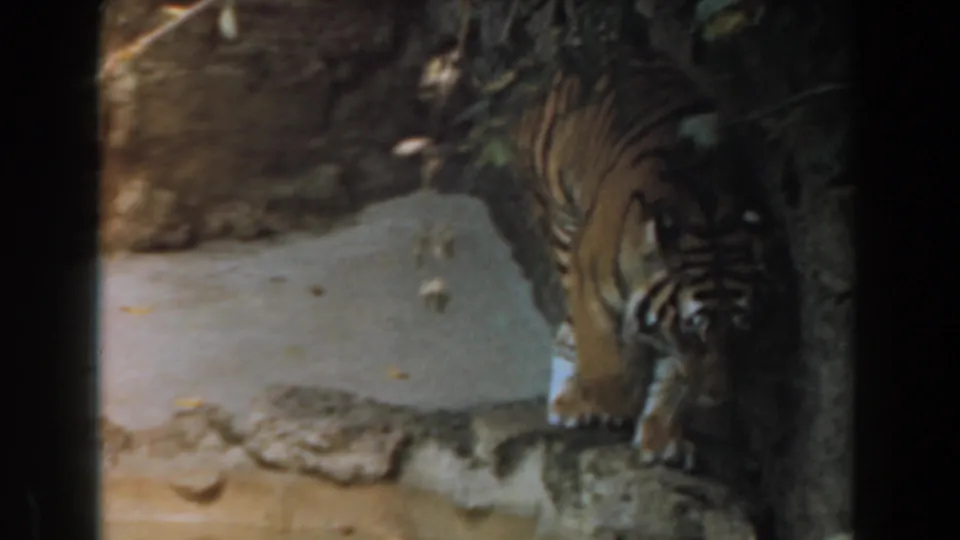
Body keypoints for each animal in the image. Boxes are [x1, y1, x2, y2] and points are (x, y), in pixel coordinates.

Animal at [512, 49, 771, 469]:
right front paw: (613, 404)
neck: (708, 212)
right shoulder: (591, 284)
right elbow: (603, 355)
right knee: (572, 325)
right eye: (694, 331)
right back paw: (574, 402)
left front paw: (661, 439)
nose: (716, 397)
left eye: (738, 328)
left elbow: (674, 378)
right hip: (563, 226)